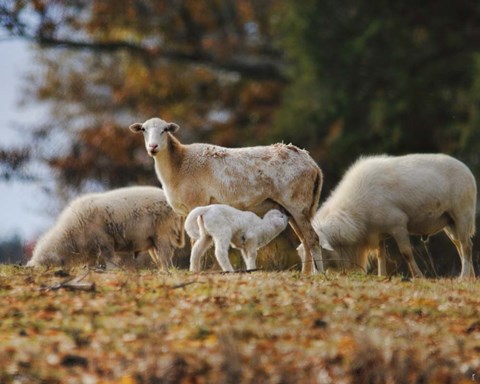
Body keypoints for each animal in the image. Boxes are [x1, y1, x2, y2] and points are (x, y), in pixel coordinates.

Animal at [26, 186, 185, 270]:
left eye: (47, 265)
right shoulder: (91, 250)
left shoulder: (103, 241)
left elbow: (110, 259)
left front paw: (111, 271)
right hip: (153, 242)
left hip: (163, 234)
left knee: (165, 258)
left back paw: (164, 272)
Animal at [129, 117, 328, 272]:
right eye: (144, 130)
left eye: (164, 130)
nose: (153, 147)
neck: (179, 165)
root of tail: (313, 165)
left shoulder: (197, 203)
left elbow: (195, 242)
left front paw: (196, 270)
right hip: (292, 208)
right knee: (305, 242)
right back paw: (306, 274)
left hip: (297, 203)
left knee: (313, 239)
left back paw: (319, 274)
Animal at [308, 154, 476, 280]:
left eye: (319, 248)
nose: (317, 276)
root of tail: (467, 171)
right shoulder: (377, 232)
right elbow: (380, 255)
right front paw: (382, 276)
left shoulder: (398, 224)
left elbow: (406, 252)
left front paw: (418, 276)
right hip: (450, 222)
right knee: (461, 246)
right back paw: (470, 277)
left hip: (462, 214)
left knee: (466, 246)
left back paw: (463, 277)